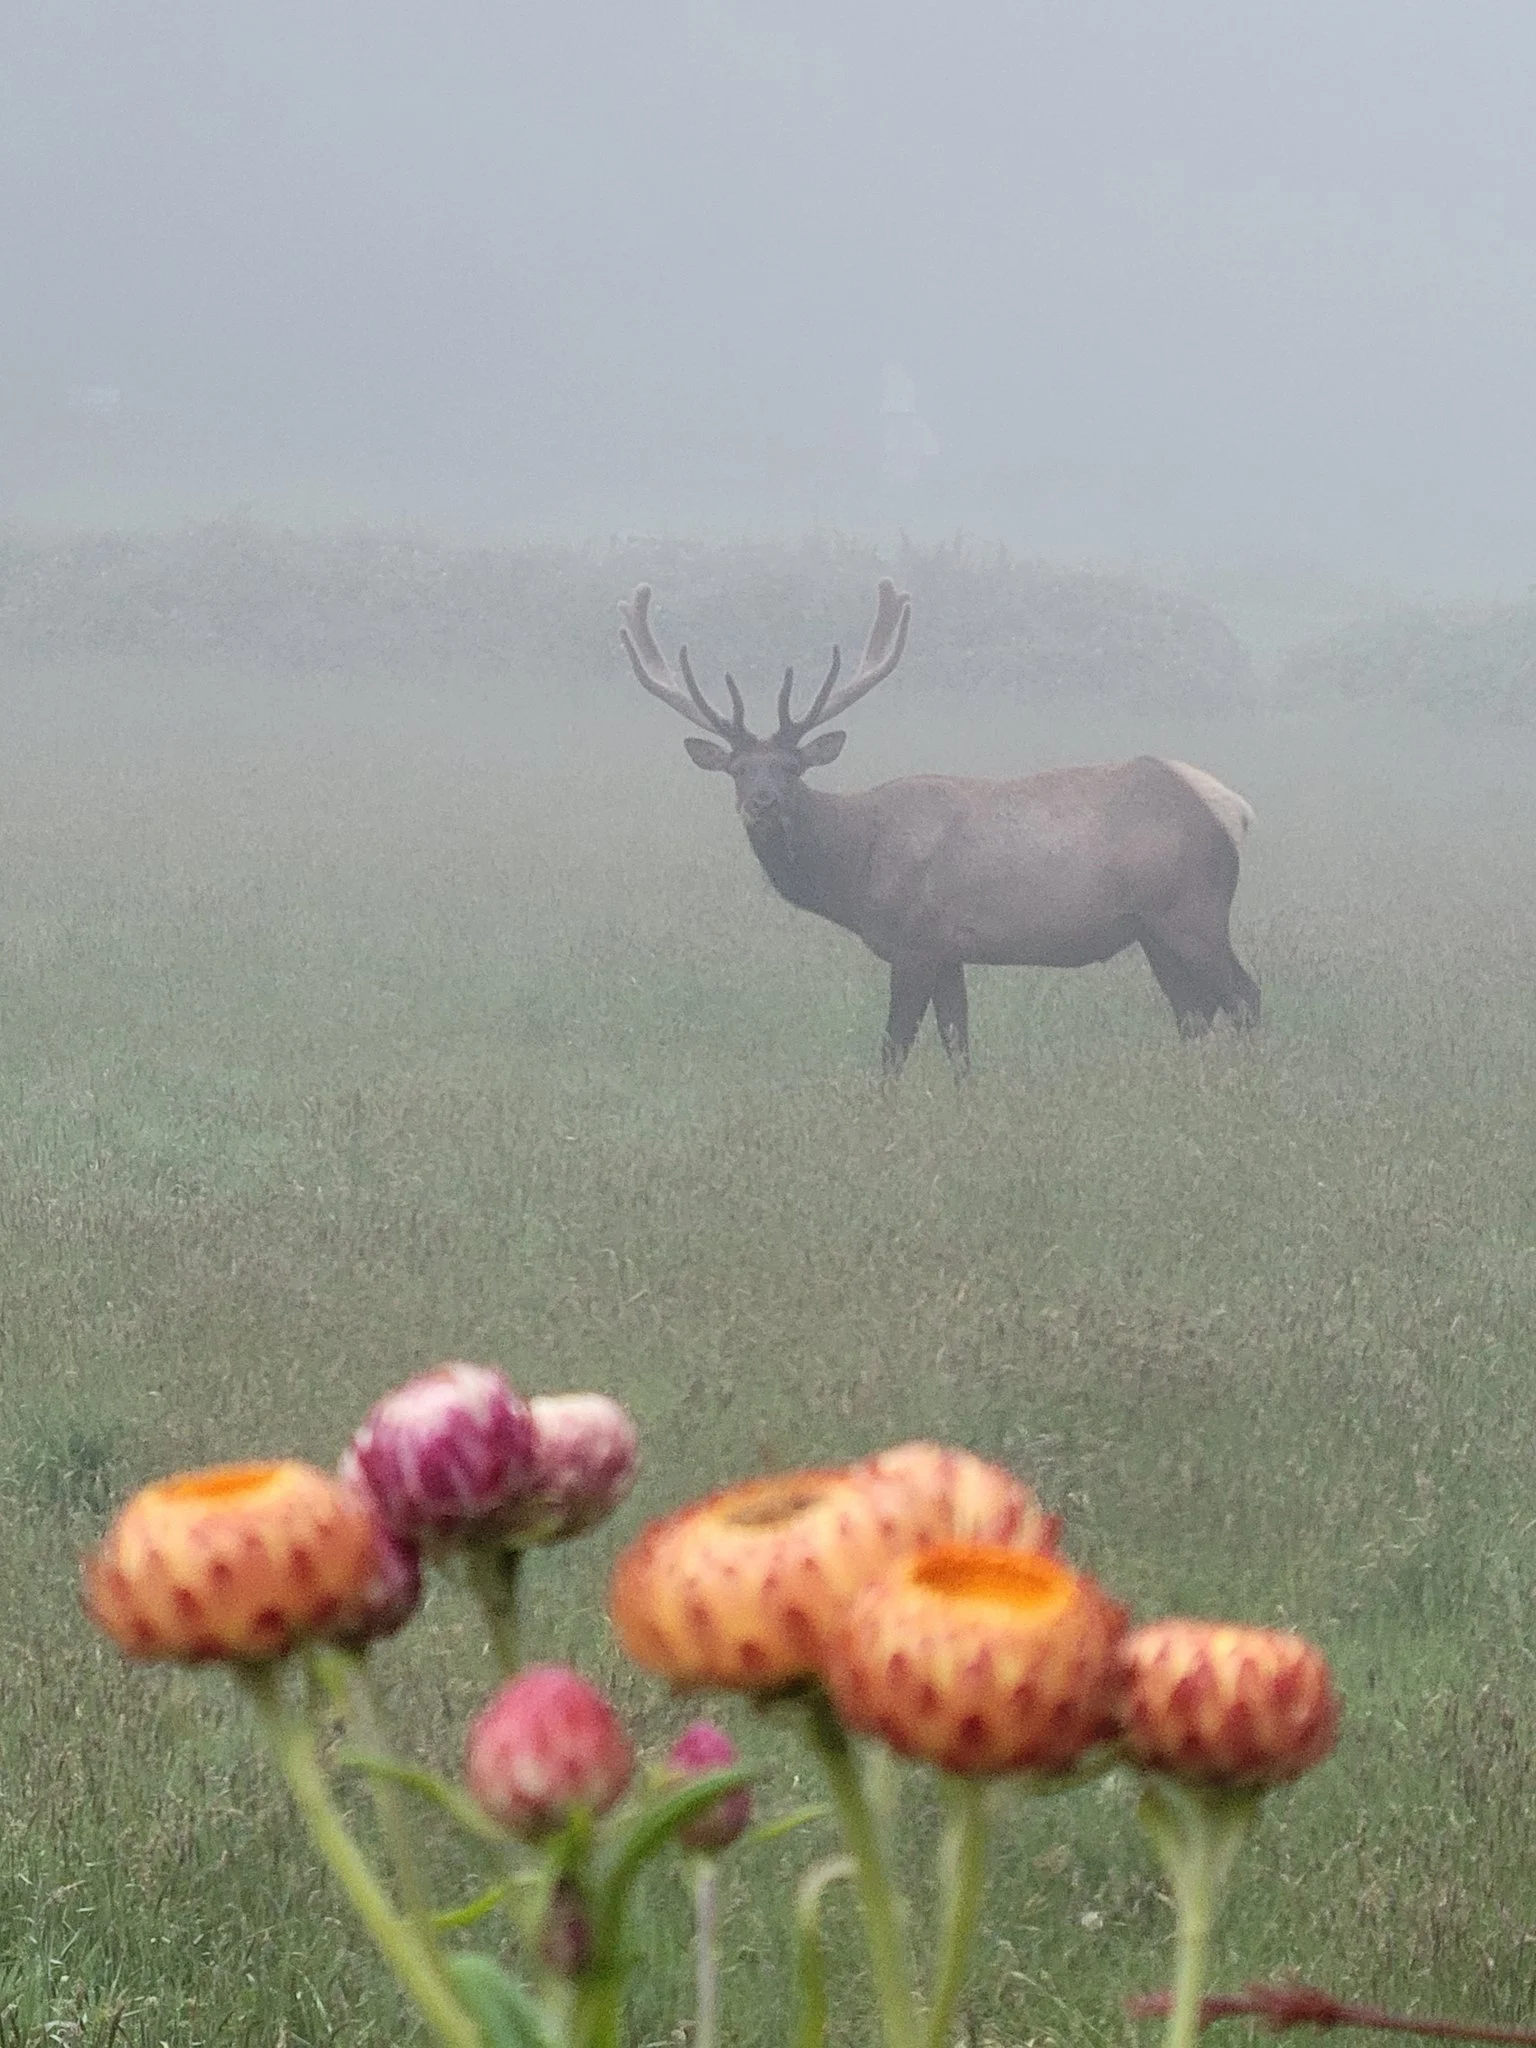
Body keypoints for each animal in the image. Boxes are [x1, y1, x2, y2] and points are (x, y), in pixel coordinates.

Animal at [619, 579, 1259, 1076]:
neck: (856, 867)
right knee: (1193, 1013)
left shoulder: (915, 940)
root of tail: (1235, 809)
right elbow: (958, 1043)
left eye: (792, 767)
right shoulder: (951, 950)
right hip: (1152, 929)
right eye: (738, 770)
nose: (763, 804)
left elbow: (893, 1047)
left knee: (1243, 997)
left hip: (1193, 909)